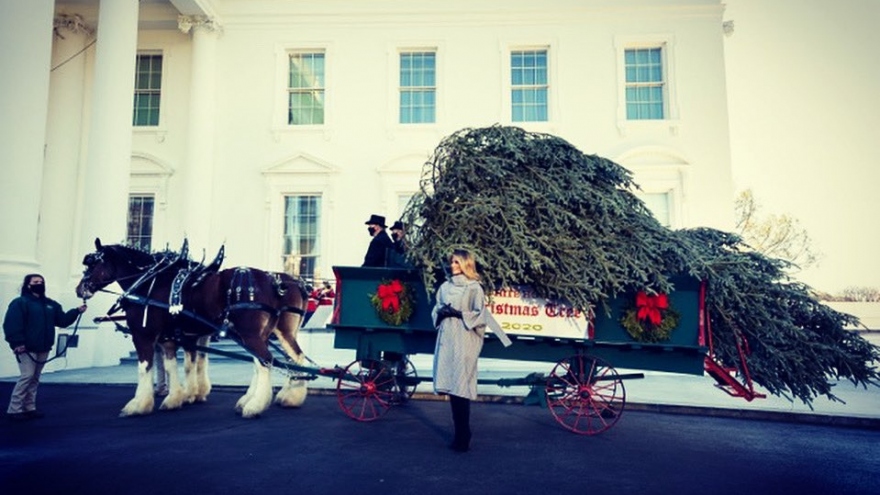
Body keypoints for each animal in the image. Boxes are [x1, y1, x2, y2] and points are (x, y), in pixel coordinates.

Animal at [75, 240, 310, 418]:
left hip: (251, 334)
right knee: (290, 358)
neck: (150, 282)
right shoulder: (174, 337)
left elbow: (146, 368)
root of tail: (275, 281)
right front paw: (178, 397)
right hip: (273, 332)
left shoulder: (144, 334)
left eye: (92, 264)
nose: (79, 289)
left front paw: (139, 404)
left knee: (266, 361)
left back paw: (255, 405)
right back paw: (286, 396)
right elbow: (178, 365)